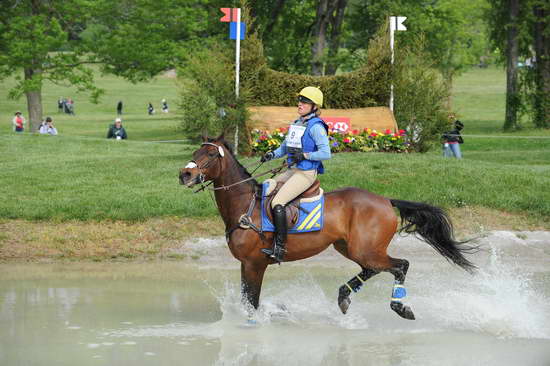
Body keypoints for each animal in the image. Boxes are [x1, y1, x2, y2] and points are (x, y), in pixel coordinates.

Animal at [181, 135, 478, 320]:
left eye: (210, 154)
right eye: (195, 152)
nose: (184, 174)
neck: (245, 205)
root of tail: (385, 200)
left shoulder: (255, 264)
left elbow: (251, 302)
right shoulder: (246, 265)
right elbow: (248, 299)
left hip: (366, 249)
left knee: (400, 265)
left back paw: (399, 307)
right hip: (350, 248)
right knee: (372, 269)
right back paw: (344, 296)